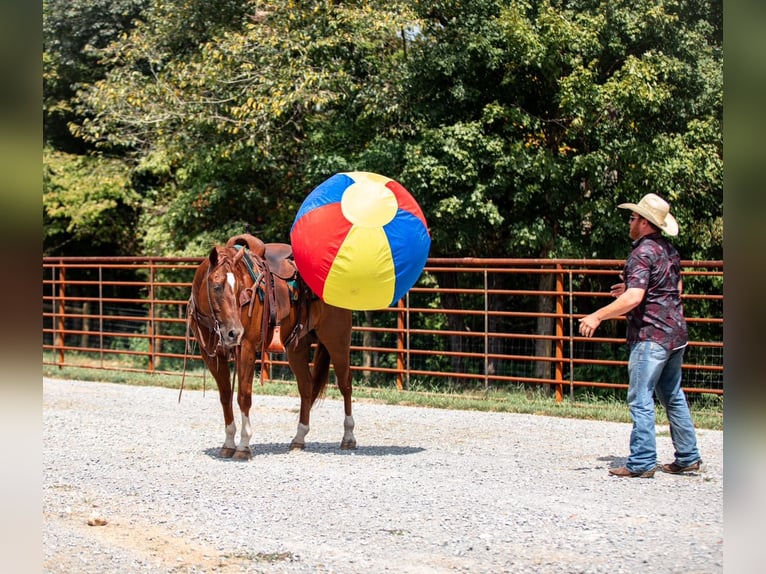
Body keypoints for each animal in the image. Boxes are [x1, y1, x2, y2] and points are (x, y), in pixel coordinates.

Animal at [186, 233, 355, 460]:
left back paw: (348, 437)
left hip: (337, 340)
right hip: (297, 348)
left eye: (240, 288)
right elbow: (225, 396)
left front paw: (243, 446)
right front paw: (228, 443)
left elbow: (244, 396)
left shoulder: (246, 348)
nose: (234, 332)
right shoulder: (211, 355)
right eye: (217, 286)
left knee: (345, 384)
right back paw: (299, 438)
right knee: (306, 386)